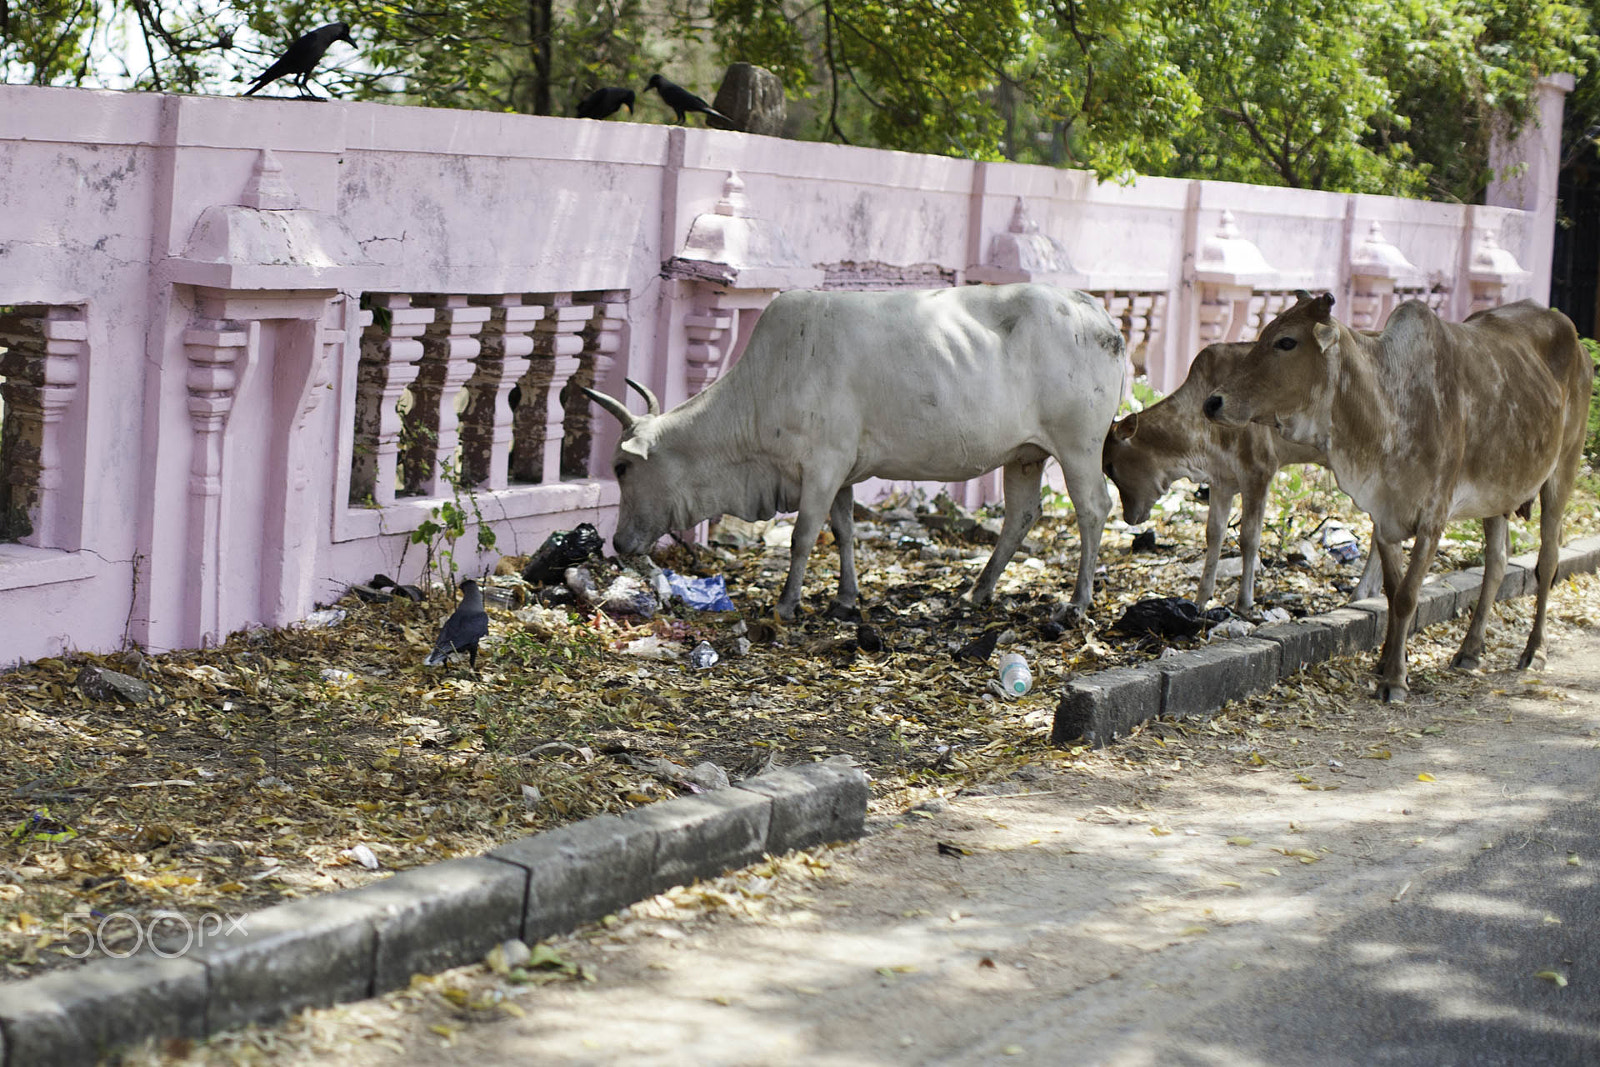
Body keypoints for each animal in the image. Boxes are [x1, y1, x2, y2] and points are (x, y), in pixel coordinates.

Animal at [588, 283, 1126, 620]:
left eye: (621, 467)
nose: (618, 542)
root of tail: (1098, 313)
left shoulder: (822, 465)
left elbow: (803, 536)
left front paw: (787, 603)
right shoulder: (842, 471)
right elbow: (844, 531)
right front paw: (847, 599)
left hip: (1077, 445)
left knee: (1093, 508)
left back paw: (1077, 602)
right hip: (1025, 454)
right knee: (1021, 515)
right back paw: (979, 591)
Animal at [1107, 342, 1382, 607]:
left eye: (1110, 468)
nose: (1129, 517)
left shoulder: (1258, 471)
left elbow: (1249, 537)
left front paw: (1244, 601)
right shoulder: (1222, 480)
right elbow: (1214, 533)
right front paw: (1201, 597)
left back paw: (1361, 594)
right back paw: (1374, 592)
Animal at [1203, 292, 1593, 703]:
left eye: (1286, 342)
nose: (1213, 402)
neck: (1388, 404)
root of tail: (1575, 338)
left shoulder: (1433, 517)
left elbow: (1408, 595)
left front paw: (1394, 679)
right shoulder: (1385, 515)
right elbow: (1392, 593)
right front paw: (1387, 661)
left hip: (1562, 473)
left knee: (1547, 562)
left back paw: (1535, 650)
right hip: (1498, 493)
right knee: (1497, 564)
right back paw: (1470, 650)